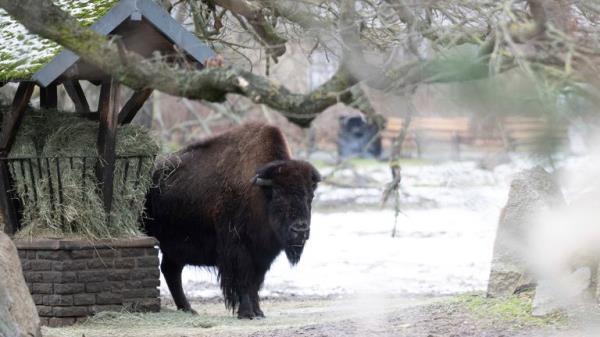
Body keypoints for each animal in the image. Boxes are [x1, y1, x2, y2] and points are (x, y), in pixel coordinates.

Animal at [144, 121, 322, 318]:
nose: (300, 230)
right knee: (170, 271)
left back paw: (189, 309)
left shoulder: (262, 255)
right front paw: (247, 313)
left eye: (310, 196)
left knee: (171, 270)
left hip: (175, 248)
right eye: (278, 195)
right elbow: (243, 280)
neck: (260, 193)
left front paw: (258, 312)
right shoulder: (238, 249)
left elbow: (255, 283)